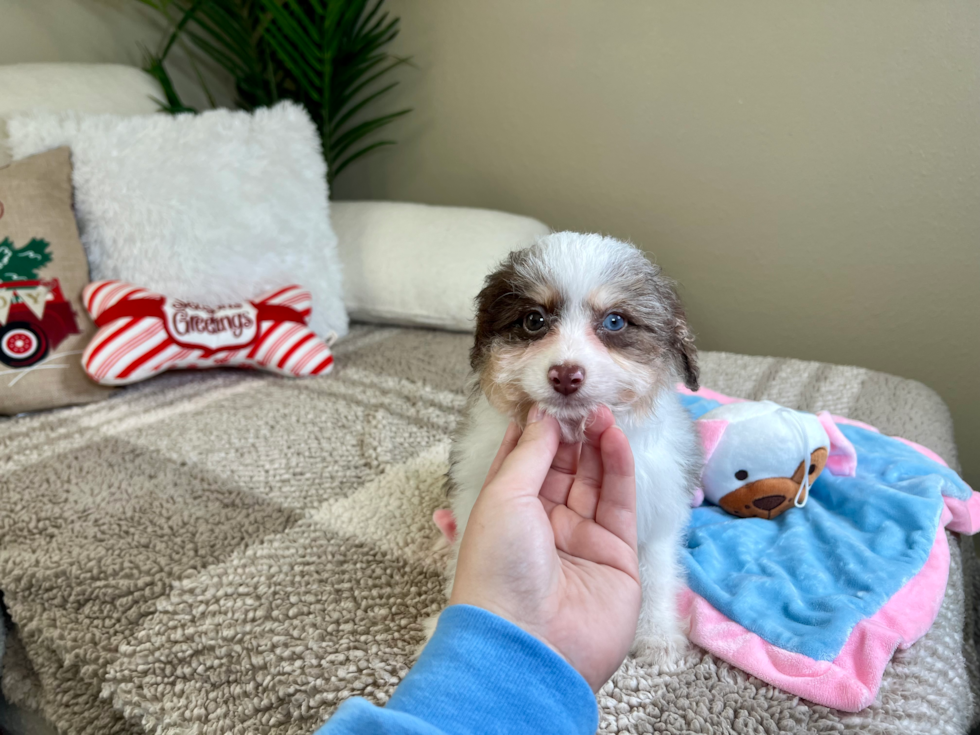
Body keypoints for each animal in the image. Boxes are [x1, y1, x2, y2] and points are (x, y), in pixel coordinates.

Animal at [436, 233, 704, 664]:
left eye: (615, 321)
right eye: (533, 320)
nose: (565, 375)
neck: (574, 441)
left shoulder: (659, 508)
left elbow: (657, 571)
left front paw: (657, 634)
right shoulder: (473, 491)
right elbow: (465, 551)